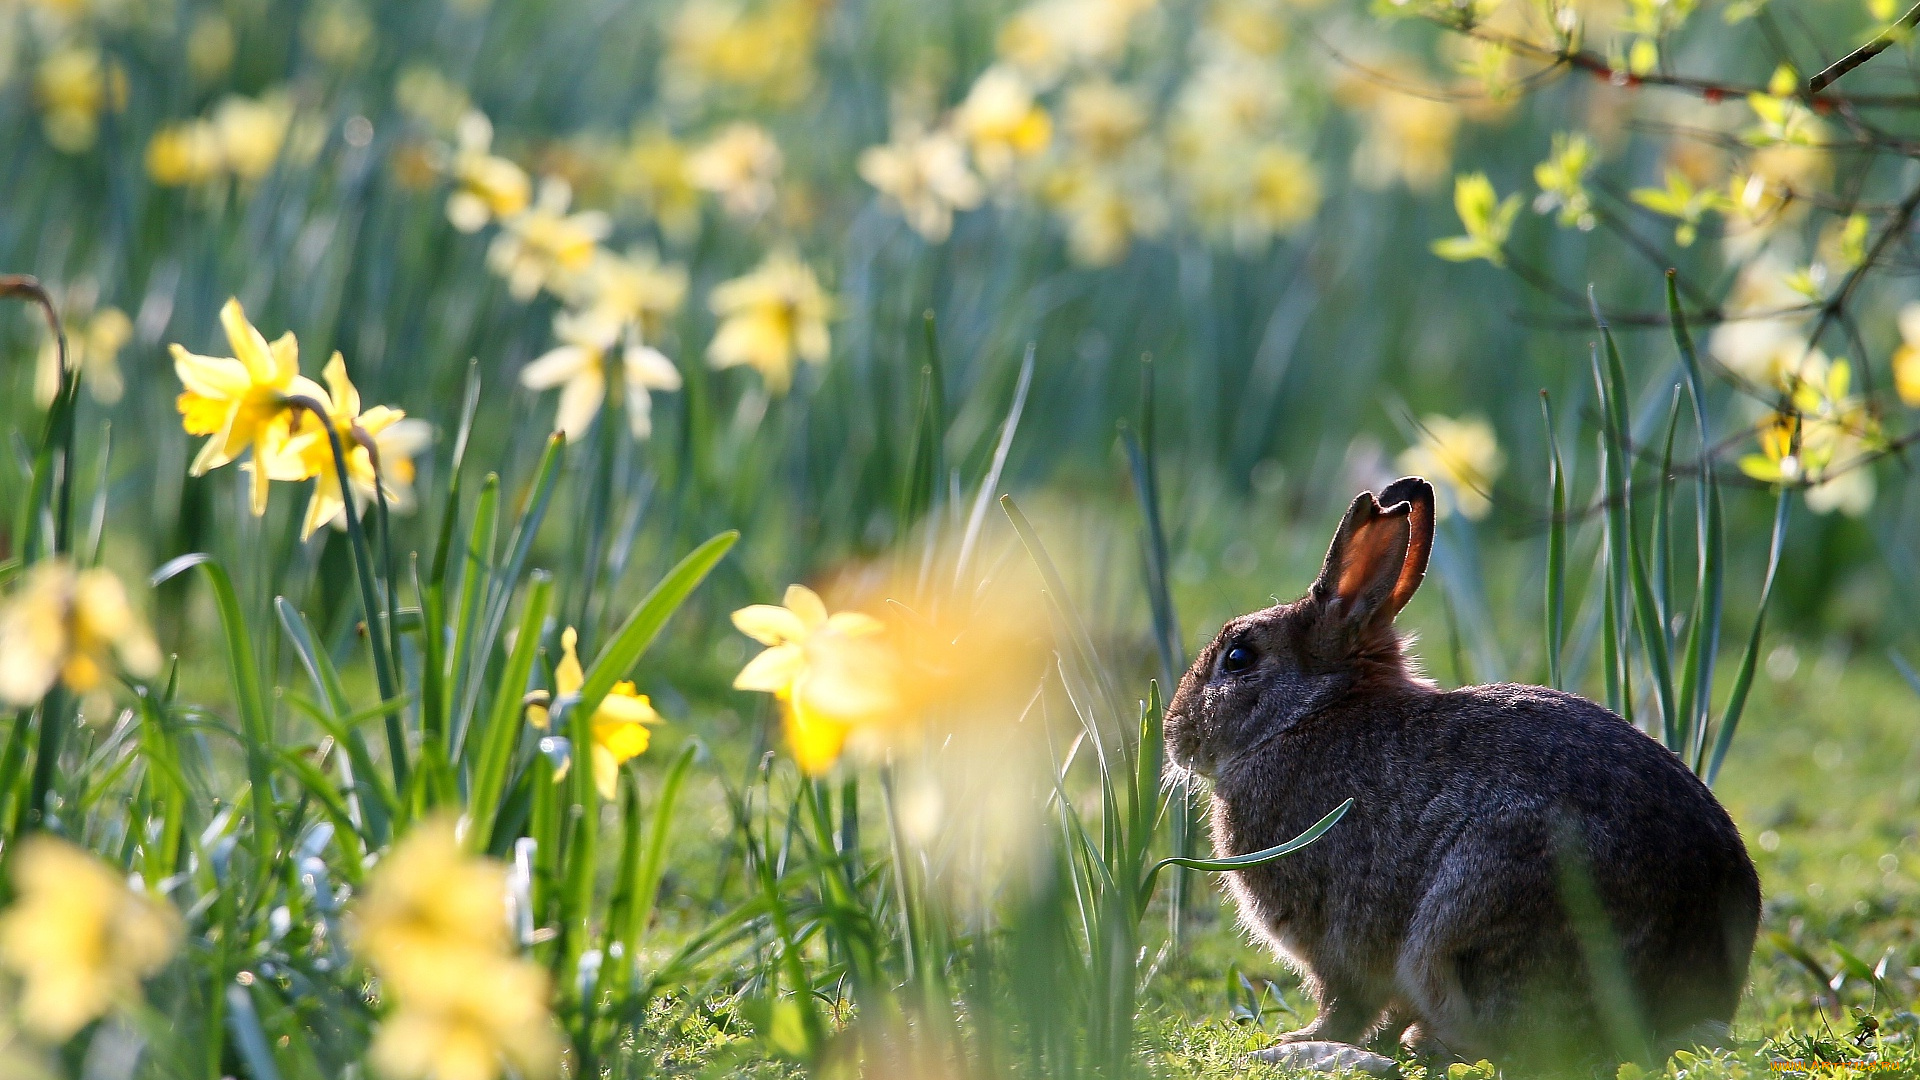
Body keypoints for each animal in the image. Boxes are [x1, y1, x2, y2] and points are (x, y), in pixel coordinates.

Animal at [1159, 476, 1758, 1068]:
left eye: (1238, 658)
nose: (1173, 736)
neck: (1308, 713)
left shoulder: (1335, 939)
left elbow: (1343, 1001)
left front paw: (1298, 1040)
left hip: (1475, 919)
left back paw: (1426, 1043)